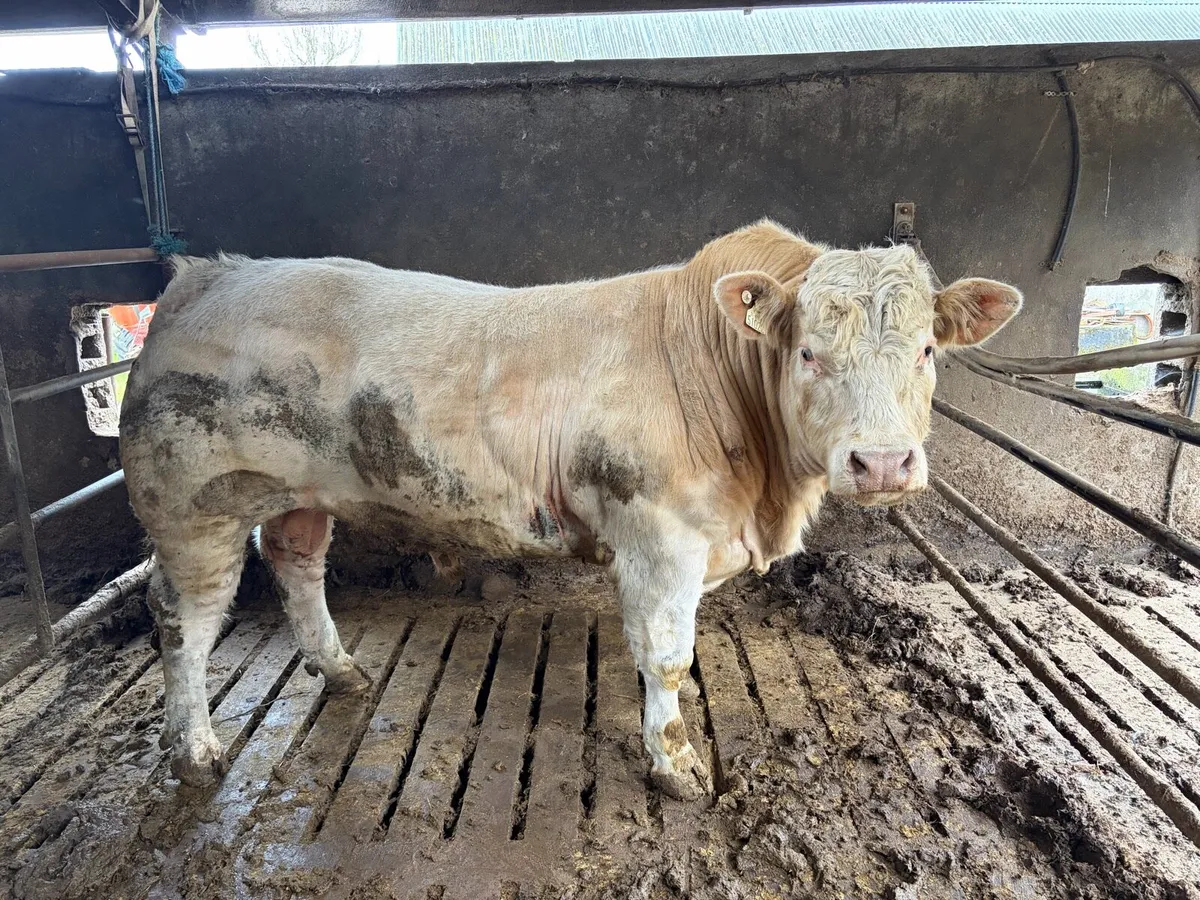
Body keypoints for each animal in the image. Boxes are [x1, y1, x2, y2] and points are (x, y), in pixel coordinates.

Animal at [119, 220, 1021, 798]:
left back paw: (340, 670)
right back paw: (195, 750)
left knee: (299, 565)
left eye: (927, 350)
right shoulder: (660, 538)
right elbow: (669, 658)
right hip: (192, 506)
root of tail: (210, 274)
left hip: (296, 492)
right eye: (807, 352)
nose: (883, 462)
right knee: (185, 618)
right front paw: (675, 764)